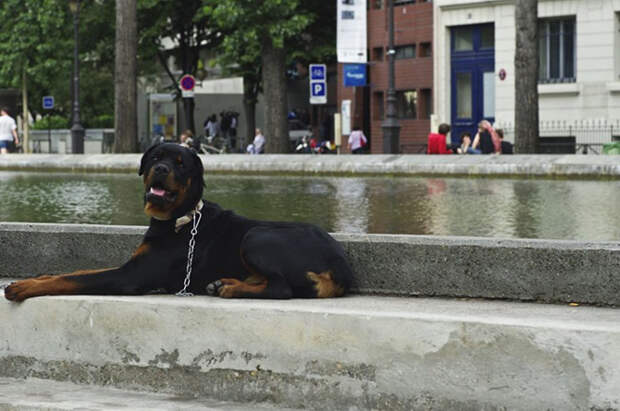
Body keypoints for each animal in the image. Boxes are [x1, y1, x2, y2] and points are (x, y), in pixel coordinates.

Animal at [3, 142, 354, 302]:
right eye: (155, 158)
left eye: (181, 164)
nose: (160, 169)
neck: (178, 219)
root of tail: (340, 262)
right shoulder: (130, 264)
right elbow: (80, 271)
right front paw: (42, 274)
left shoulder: (130, 276)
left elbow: (76, 279)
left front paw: (26, 286)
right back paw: (225, 283)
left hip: (256, 235)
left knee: (281, 287)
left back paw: (230, 288)